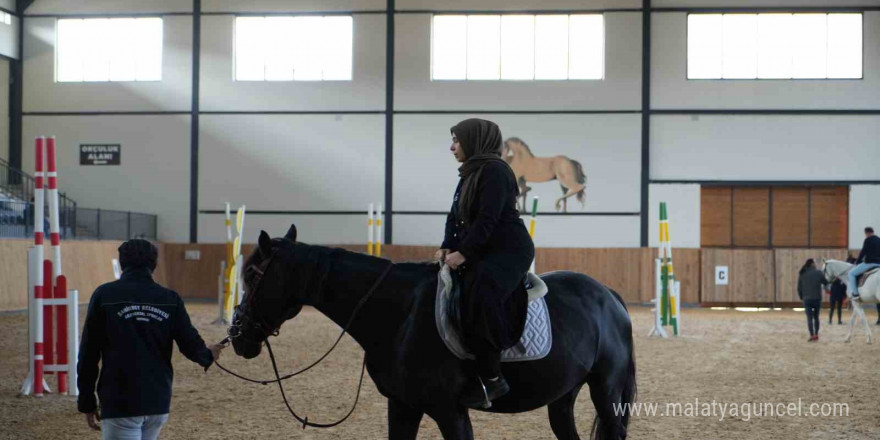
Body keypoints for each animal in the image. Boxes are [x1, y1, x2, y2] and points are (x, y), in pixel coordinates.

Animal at [230, 227, 636, 440]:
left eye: (252, 275)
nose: (237, 336)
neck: (400, 315)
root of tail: (608, 296)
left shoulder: (450, 411)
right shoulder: (403, 406)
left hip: (606, 391)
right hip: (563, 397)